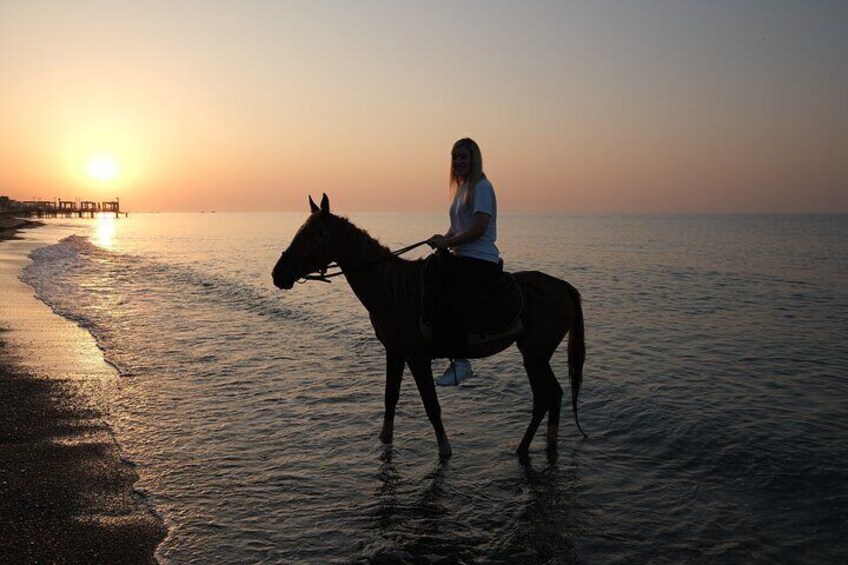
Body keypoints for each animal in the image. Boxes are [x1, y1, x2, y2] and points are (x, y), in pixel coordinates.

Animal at [272, 194, 584, 458]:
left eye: (311, 234)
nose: (278, 274)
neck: (394, 290)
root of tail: (563, 287)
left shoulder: (417, 357)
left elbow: (432, 406)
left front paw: (445, 450)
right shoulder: (395, 352)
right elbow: (390, 398)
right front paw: (385, 441)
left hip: (535, 355)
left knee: (546, 397)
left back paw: (526, 448)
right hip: (535, 355)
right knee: (551, 396)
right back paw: (536, 446)